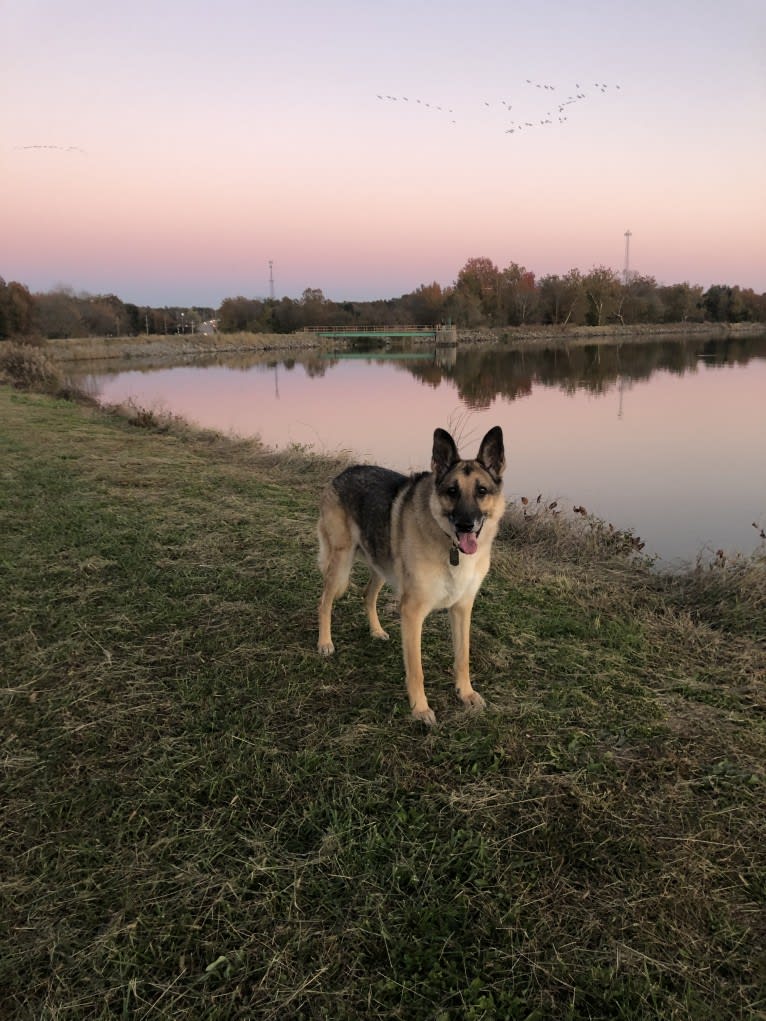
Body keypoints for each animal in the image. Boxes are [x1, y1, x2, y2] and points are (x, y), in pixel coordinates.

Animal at [316, 426, 504, 722]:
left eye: (482, 490)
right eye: (452, 491)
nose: (466, 525)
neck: (449, 546)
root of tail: (345, 471)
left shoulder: (462, 608)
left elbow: (463, 657)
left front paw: (465, 693)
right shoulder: (412, 612)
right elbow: (416, 670)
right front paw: (420, 708)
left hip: (381, 563)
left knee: (367, 595)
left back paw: (376, 630)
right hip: (341, 562)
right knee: (324, 602)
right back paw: (325, 642)